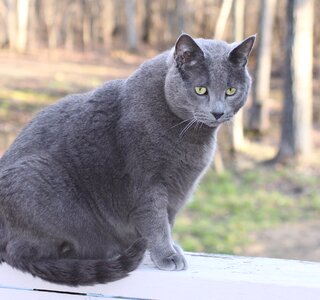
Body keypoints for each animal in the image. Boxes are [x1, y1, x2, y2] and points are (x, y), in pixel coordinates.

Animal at [0, 33, 255, 286]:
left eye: (231, 91)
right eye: (201, 90)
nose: (218, 112)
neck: (191, 135)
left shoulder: (179, 188)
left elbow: (168, 220)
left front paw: (170, 249)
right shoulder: (146, 183)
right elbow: (156, 221)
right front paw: (167, 255)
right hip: (33, 178)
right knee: (26, 251)